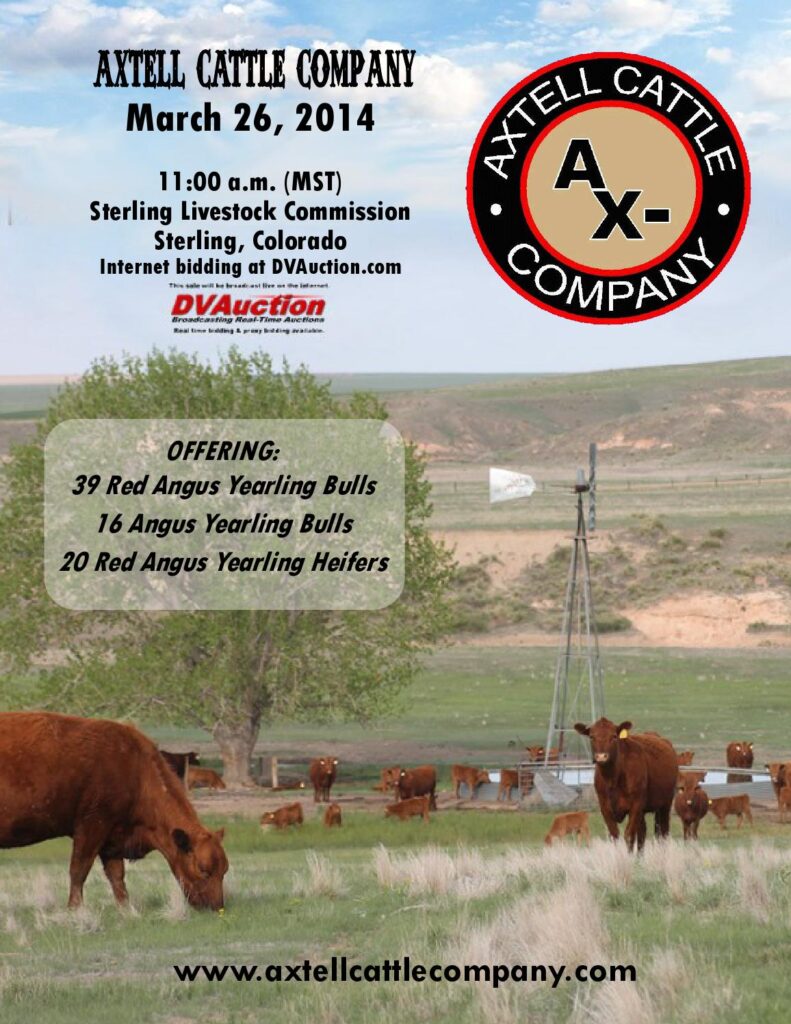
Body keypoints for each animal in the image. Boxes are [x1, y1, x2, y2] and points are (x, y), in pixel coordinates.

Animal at [0, 712, 227, 910]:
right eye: (203, 869)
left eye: (225, 869)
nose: (216, 906)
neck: (136, 769)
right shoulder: (92, 826)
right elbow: (79, 870)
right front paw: (74, 909)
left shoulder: (112, 837)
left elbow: (116, 875)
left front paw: (126, 908)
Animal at [574, 718, 677, 852]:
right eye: (592, 736)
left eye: (614, 736)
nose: (601, 757)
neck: (613, 779)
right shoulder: (605, 807)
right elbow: (615, 836)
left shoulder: (635, 805)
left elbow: (629, 835)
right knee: (642, 832)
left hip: (665, 804)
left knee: (662, 832)